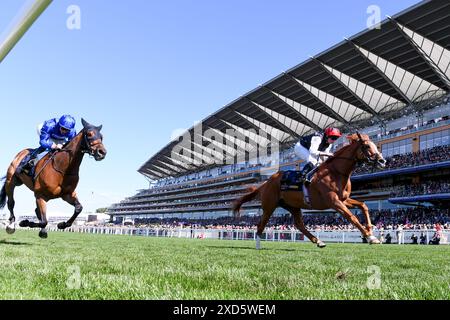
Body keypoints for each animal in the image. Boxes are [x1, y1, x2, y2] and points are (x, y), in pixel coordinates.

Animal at [232, 132, 386, 248]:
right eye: (366, 146)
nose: (382, 161)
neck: (336, 172)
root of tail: (266, 182)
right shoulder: (333, 201)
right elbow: (352, 217)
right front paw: (370, 237)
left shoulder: (343, 199)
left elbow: (363, 206)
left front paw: (371, 231)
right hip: (269, 205)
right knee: (261, 224)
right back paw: (258, 246)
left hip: (293, 206)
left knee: (299, 225)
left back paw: (318, 241)